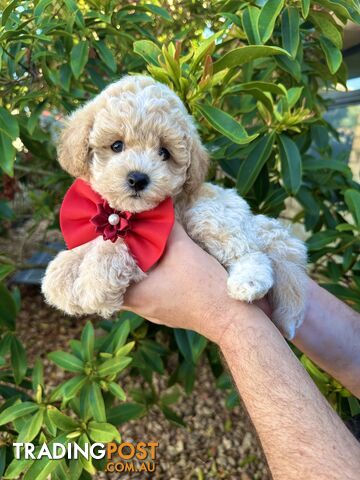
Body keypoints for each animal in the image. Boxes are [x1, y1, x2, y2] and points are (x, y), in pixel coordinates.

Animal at [42, 74, 306, 338]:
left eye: (164, 152)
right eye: (117, 145)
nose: (138, 178)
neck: (125, 213)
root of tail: (254, 221)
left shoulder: (154, 246)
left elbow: (116, 245)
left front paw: (93, 281)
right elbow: (90, 243)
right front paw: (61, 273)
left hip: (209, 217)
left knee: (252, 253)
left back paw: (247, 284)